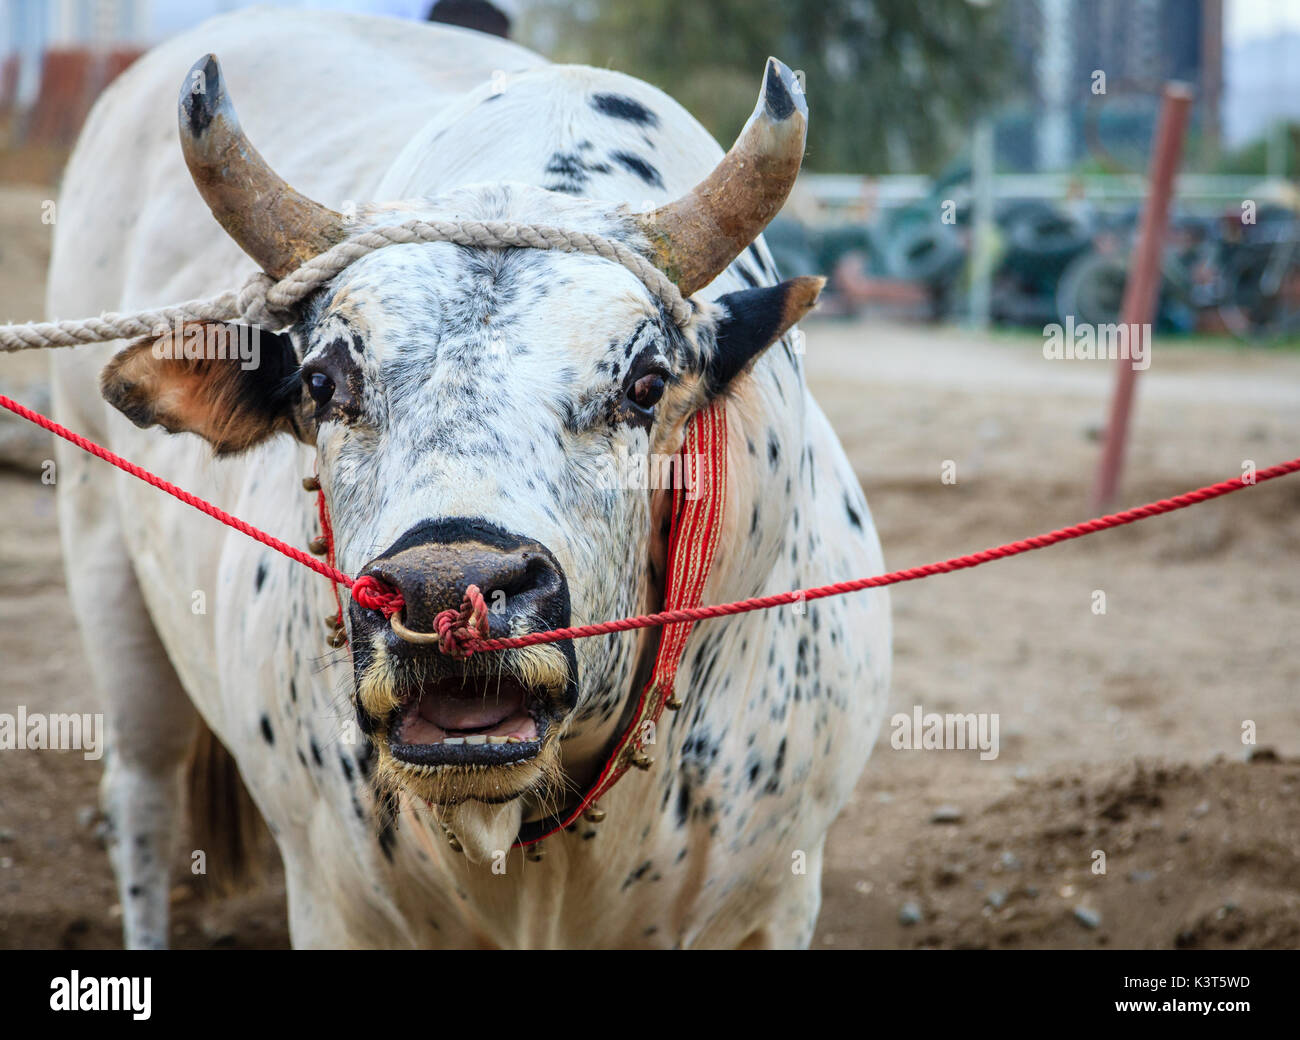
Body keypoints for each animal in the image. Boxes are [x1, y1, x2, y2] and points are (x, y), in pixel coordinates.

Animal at [45, 8, 889, 951]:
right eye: (322, 382)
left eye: (645, 383)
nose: (446, 591)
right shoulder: (334, 903)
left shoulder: (775, 901)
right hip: (104, 565)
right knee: (142, 798)